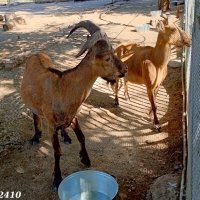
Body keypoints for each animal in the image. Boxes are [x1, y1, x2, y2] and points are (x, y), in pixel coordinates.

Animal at [20, 20, 126, 189]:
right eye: (107, 58)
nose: (125, 70)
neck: (63, 89)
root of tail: (36, 54)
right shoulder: (51, 124)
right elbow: (57, 151)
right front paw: (57, 179)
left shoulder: (74, 116)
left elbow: (82, 137)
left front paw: (86, 159)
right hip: (34, 106)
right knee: (35, 115)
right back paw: (36, 137)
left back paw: (66, 136)